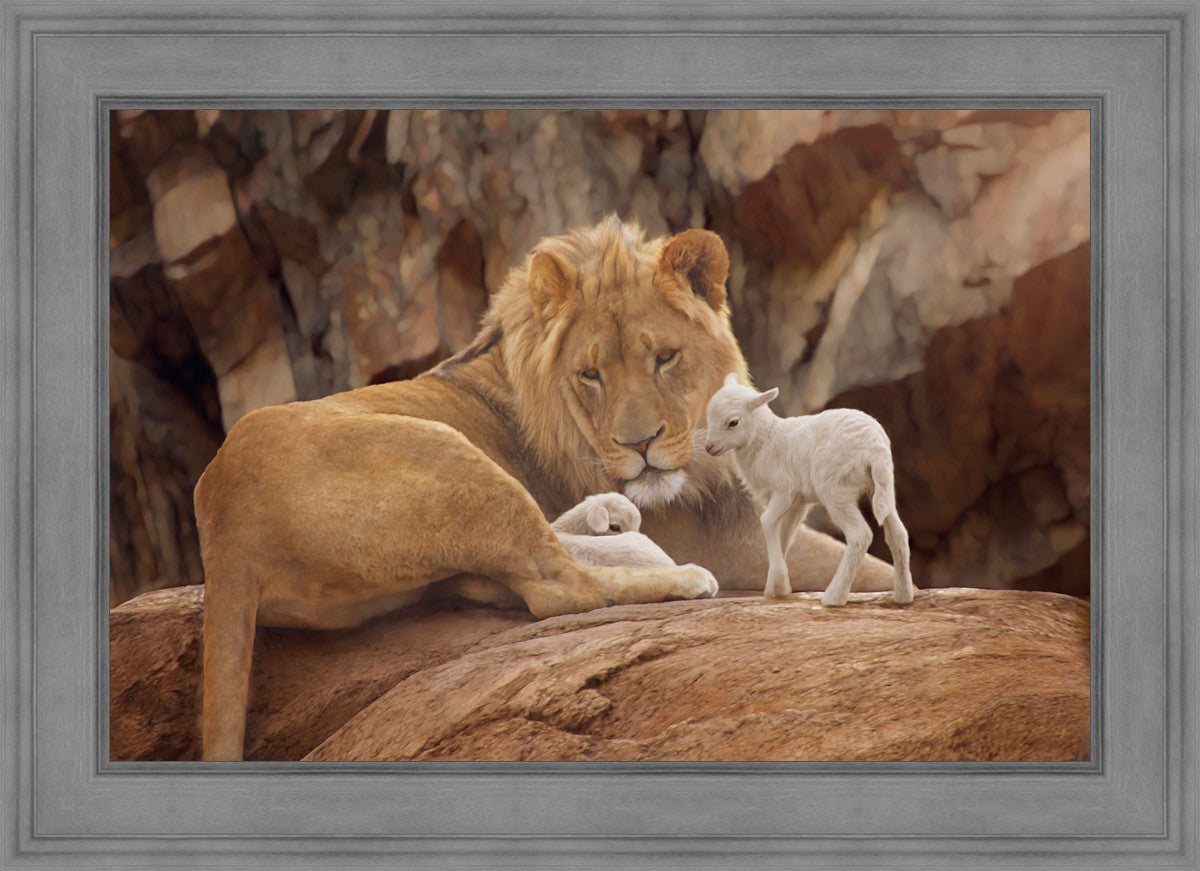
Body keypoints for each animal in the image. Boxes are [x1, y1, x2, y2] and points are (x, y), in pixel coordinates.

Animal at [195, 216, 894, 761]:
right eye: (591, 374)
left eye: (664, 358)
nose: (640, 445)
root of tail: (223, 526)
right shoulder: (734, 544)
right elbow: (870, 565)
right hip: (446, 454)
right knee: (556, 586)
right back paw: (675, 574)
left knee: (513, 571)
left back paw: (609, 518)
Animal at [703, 374, 915, 607]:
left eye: (733, 422)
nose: (708, 447)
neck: (765, 440)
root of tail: (875, 448)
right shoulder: (798, 502)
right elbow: (785, 534)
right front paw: (777, 587)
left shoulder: (784, 491)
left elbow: (766, 521)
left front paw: (778, 582)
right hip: (881, 487)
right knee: (898, 534)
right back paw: (903, 595)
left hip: (835, 489)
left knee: (860, 535)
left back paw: (834, 596)